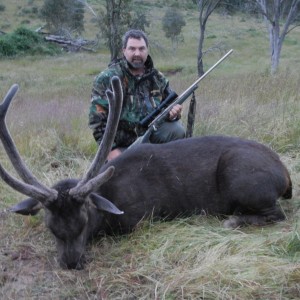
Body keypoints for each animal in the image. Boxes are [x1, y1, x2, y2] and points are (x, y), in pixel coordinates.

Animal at [0, 77, 290, 270]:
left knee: (277, 214)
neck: (109, 199)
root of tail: (285, 175)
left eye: (84, 220)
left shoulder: (141, 219)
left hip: (243, 180)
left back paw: (233, 220)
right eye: (51, 227)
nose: (71, 262)